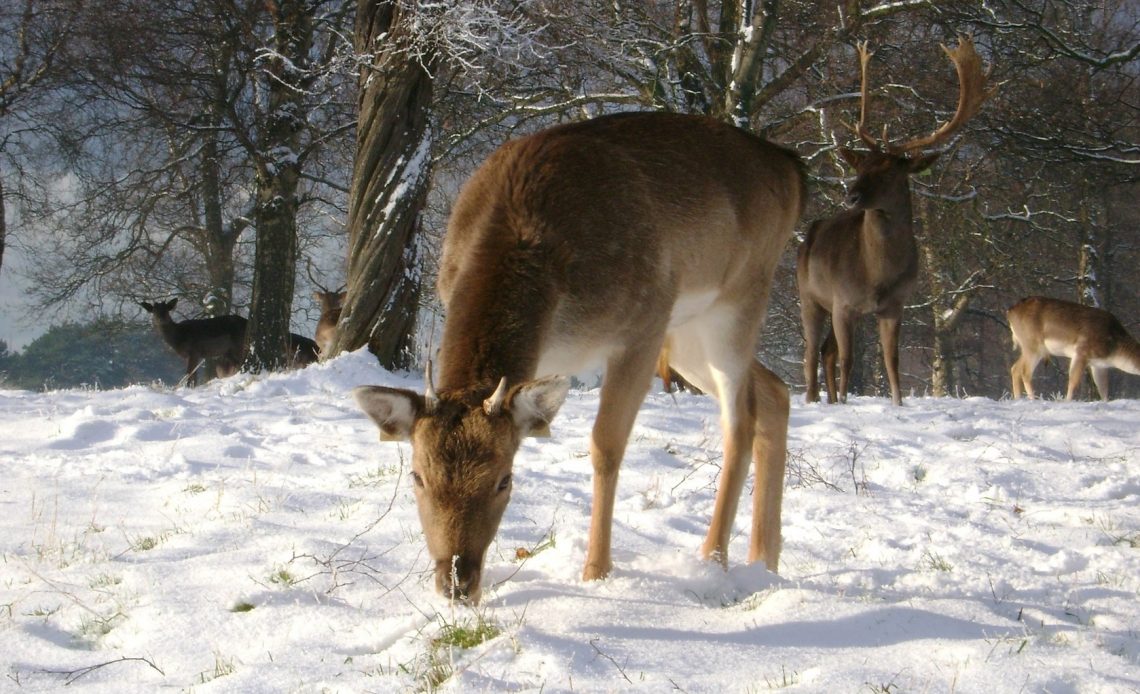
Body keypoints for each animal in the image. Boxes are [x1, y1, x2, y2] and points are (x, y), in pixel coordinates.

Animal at [351, 112, 807, 601]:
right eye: (417, 476)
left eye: (505, 479)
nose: (457, 581)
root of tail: (791, 167)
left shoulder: (644, 322)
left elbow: (605, 445)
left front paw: (596, 572)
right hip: (689, 331)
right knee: (775, 392)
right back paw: (765, 562)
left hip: (738, 299)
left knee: (739, 420)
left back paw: (713, 560)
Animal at [798, 36, 994, 405]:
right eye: (861, 166)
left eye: (890, 171)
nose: (852, 196)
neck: (877, 272)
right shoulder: (844, 300)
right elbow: (849, 358)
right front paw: (846, 400)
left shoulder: (895, 304)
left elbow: (892, 359)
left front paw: (897, 403)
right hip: (809, 295)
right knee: (812, 350)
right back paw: (815, 399)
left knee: (826, 351)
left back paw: (829, 400)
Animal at [1007, 296, 1140, 401]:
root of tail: (1010, 312)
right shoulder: (1082, 352)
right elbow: (1073, 381)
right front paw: (1067, 401)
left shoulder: (1099, 365)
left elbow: (1103, 390)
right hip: (1032, 345)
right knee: (1025, 372)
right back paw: (1033, 399)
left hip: (1029, 347)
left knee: (1015, 368)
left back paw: (1018, 398)